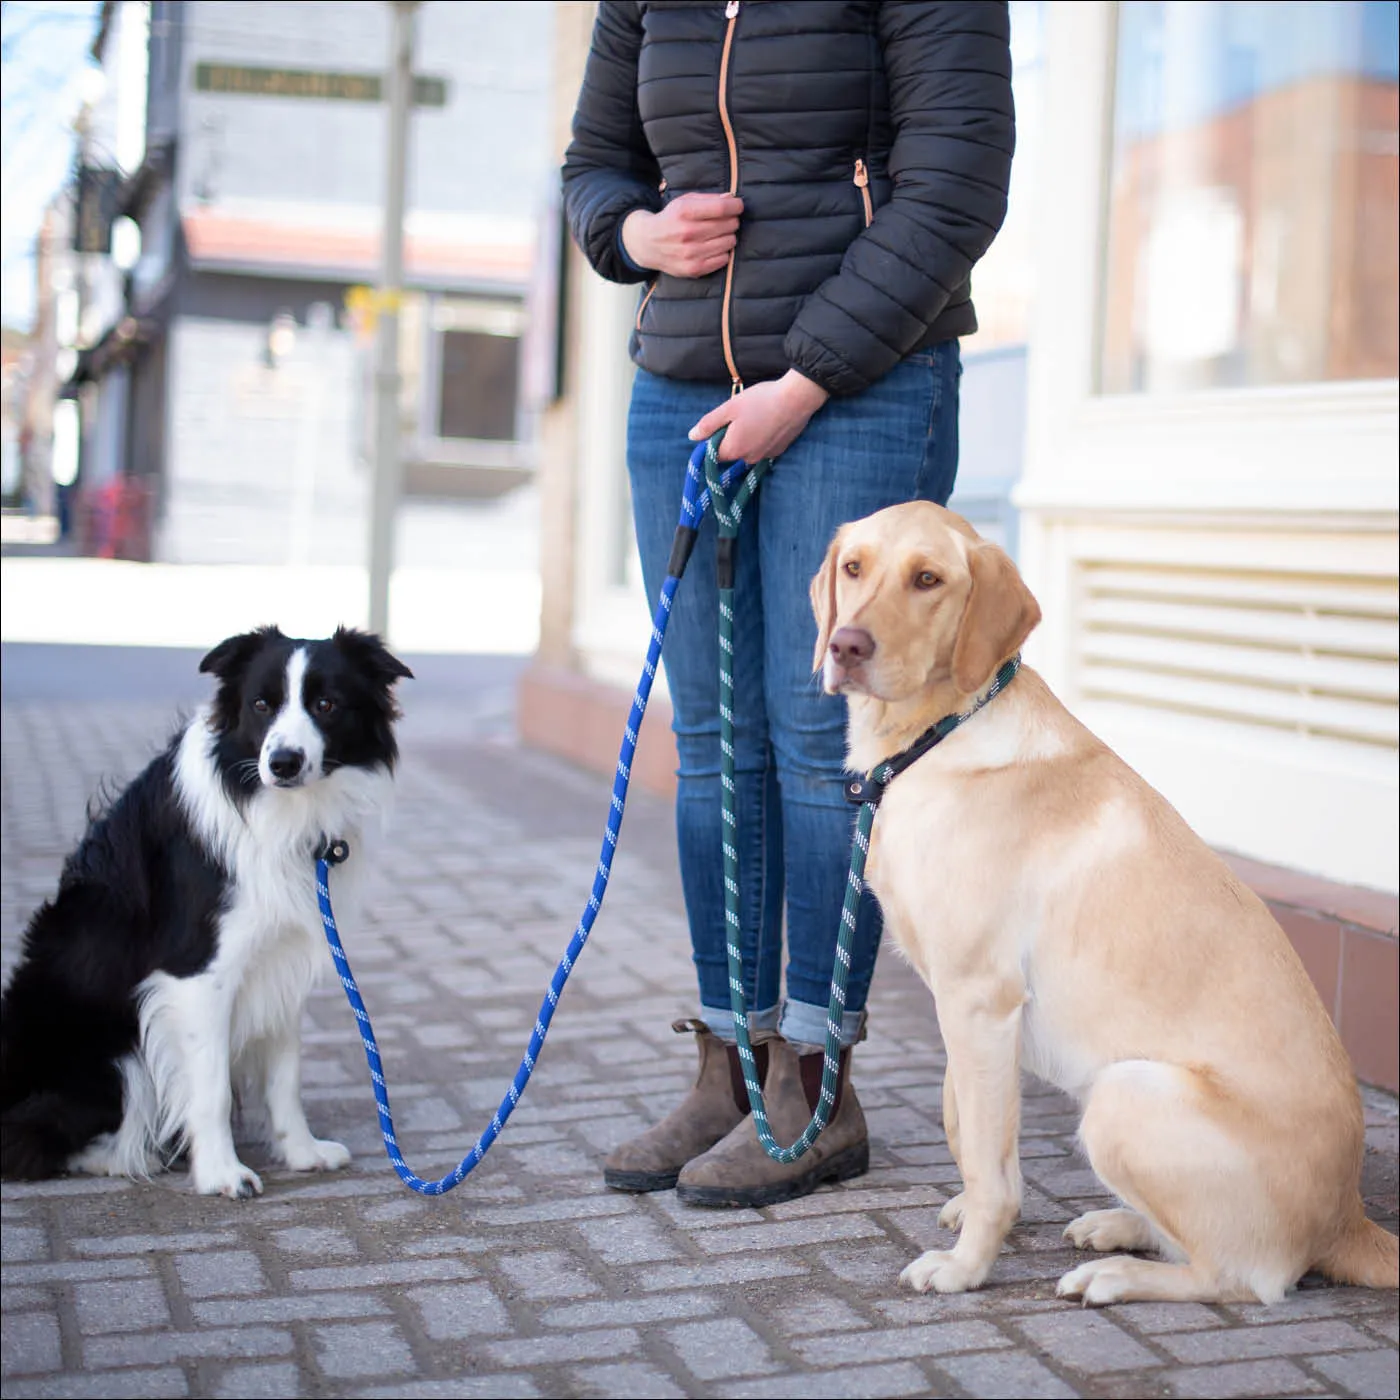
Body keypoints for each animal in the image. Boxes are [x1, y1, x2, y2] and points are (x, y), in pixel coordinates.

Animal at [1, 630, 408, 1198]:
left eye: (326, 705)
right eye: (261, 705)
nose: (283, 762)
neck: (278, 810)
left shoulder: (283, 959)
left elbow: (285, 1076)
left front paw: (302, 1153)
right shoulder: (196, 974)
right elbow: (210, 1087)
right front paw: (221, 1174)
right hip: (111, 1050)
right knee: (33, 1138)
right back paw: (125, 1156)